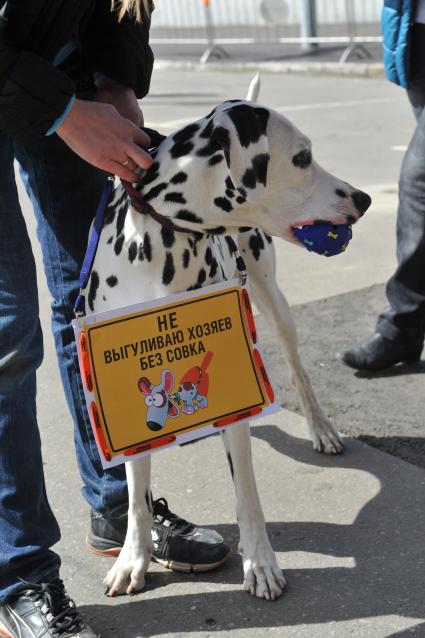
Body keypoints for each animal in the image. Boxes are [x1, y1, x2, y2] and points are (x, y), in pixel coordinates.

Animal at [84, 77, 370, 604]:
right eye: (302, 157)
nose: (363, 199)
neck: (159, 244)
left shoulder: (238, 391)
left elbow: (248, 496)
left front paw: (260, 564)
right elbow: (136, 496)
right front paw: (133, 558)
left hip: (274, 303)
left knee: (299, 371)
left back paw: (320, 428)